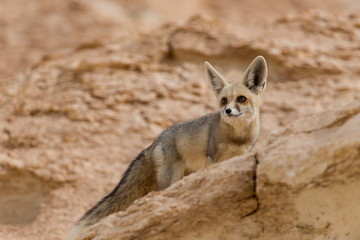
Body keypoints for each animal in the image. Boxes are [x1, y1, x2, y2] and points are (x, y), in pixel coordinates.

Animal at [67, 55, 268, 239]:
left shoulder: (238, 155)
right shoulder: (213, 157)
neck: (237, 136)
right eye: (224, 100)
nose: (227, 111)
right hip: (171, 177)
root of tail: (155, 140)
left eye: (241, 99)